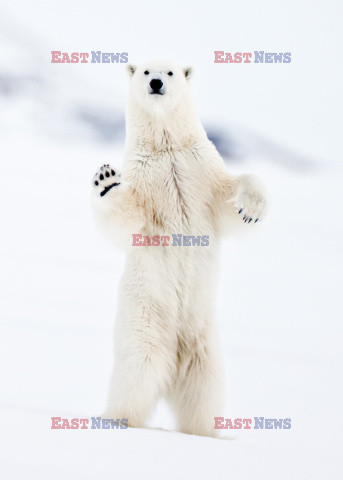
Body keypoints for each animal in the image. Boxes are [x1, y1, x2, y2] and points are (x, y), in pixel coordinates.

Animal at [92, 60, 268, 436]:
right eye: (145, 71)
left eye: (170, 72)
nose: (157, 82)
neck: (167, 147)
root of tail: (175, 361)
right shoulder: (143, 174)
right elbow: (128, 218)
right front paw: (106, 181)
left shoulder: (200, 167)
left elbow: (228, 199)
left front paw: (251, 208)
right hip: (144, 317)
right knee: (138, 370)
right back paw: (116, 420)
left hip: (205, 341)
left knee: (205, 389)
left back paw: (208, 432)